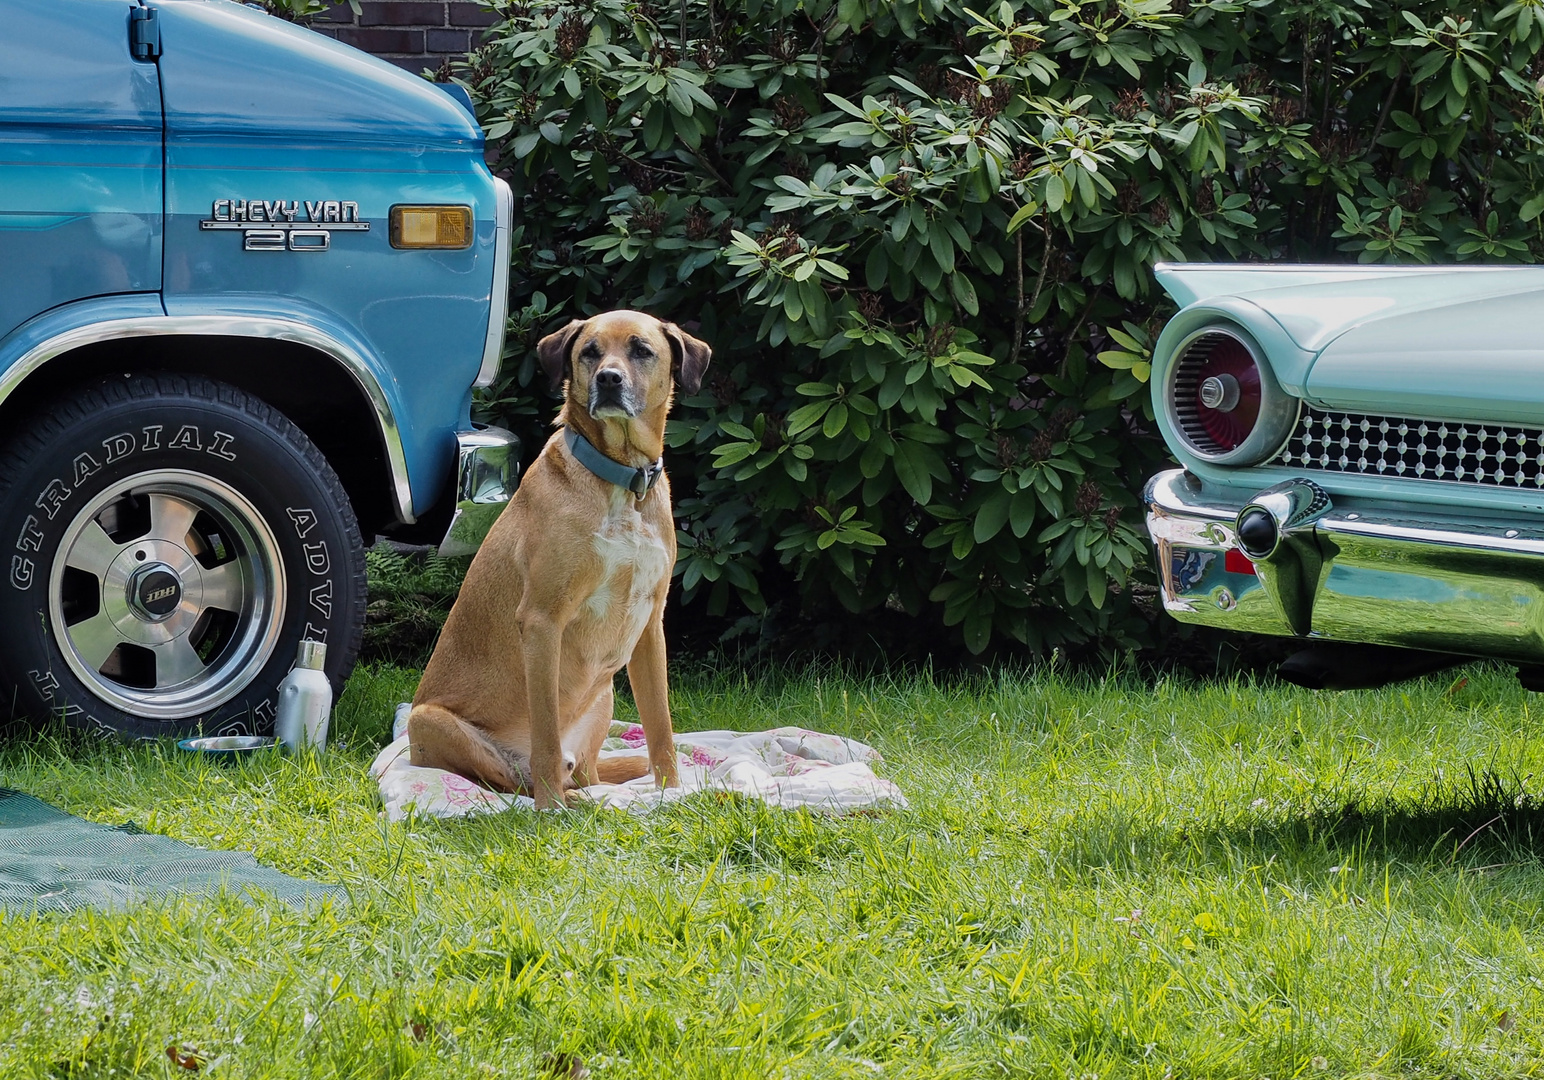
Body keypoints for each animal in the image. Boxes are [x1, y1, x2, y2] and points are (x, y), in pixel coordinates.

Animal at [401, 309, 707, 809]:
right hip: (430, 719)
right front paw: (551, 812)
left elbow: (661, 728)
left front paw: (671, 795)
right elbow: (544, 731)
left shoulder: (649, 624)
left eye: (641, 350)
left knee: (585, 772)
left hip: (604, 699)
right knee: (516, 778)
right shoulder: (543, 621)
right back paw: (559, 798)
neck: (623, 481)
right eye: (590, 352)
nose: (608, 379)